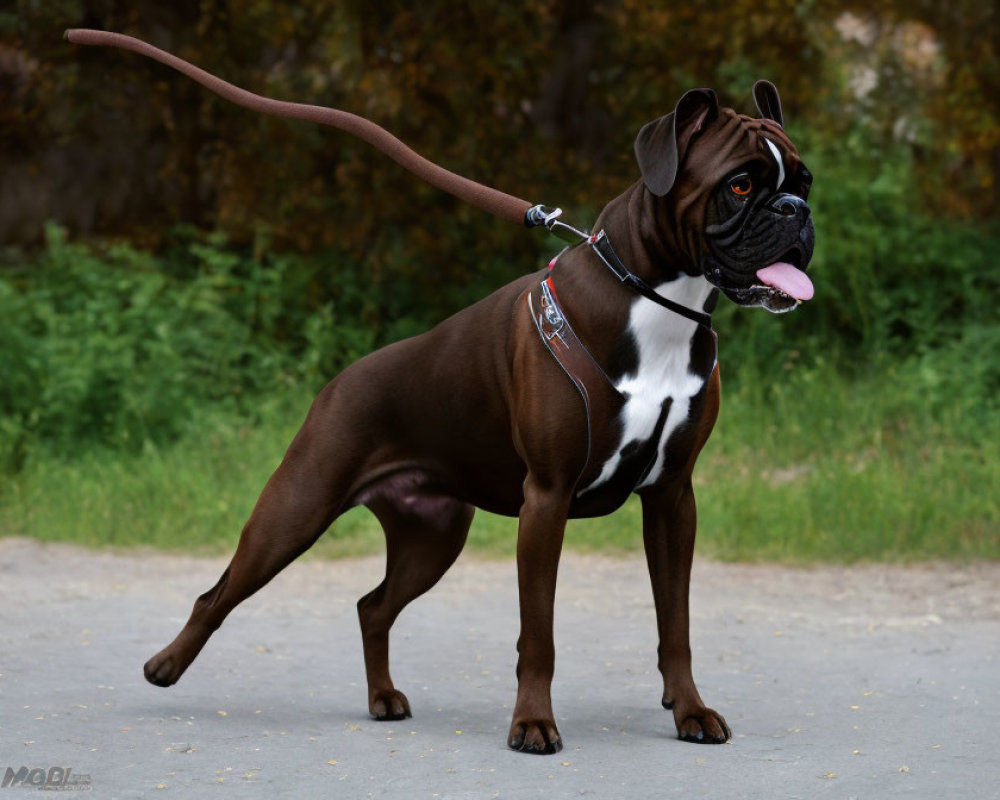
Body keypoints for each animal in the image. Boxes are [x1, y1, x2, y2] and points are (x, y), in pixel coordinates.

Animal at [139, 79, 812, 752]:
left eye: (804, 181)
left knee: (373, 606)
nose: (795, 212)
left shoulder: (672, 499)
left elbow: (676, 623)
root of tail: (339, 381)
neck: (653, 302)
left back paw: (382, 698)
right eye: (741, 185)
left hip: (432, 538)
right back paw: (164, 667)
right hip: (294, 512)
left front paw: (690, 710)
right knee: (217, 595)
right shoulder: (546, 500)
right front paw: (533, 723)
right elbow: (537, 632)